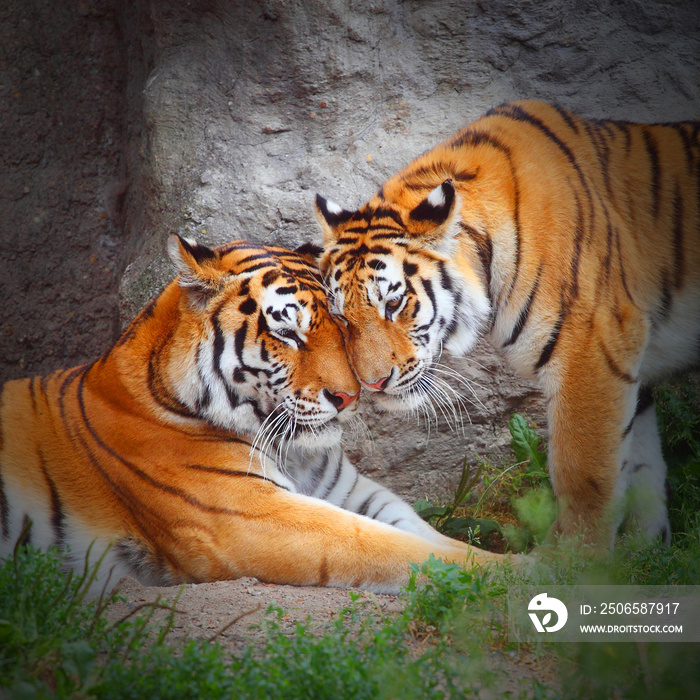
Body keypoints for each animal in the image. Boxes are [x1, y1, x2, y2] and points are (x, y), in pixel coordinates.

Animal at [0, 232, 506, 592]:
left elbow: (428, 536)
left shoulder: (351, 493)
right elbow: (397, 549)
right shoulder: (254, 518)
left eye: (342, 323)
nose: (349, 397)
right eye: (288, 333)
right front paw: (519, 574)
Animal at [318, 100, 700, 548]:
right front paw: (642, 553)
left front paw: (574, 558)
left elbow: (586, 476)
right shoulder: (628, 366)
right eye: (341, 317)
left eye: (393, 304)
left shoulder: (593, 352)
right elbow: (641, 470)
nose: (372, 384)